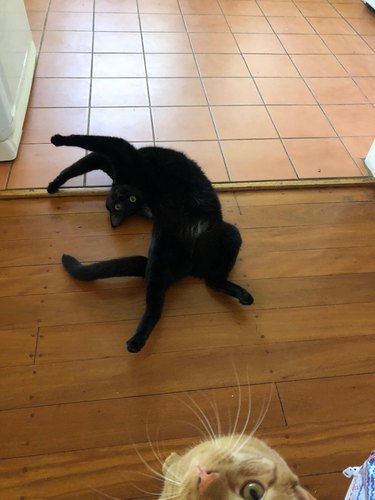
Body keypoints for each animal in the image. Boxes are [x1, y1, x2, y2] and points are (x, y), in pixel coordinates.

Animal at [48, 133, 254, 352]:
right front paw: (54, 180)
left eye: (131, 200)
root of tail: (190, 265)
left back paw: (136, 341)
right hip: (183, 250)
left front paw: (57, 145)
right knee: (204, 283)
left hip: (207, 240)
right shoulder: (117, 157)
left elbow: (89, 147)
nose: (123, 195)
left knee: (165, 301)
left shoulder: (121, 152)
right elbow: (84, 157)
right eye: (120, 205)